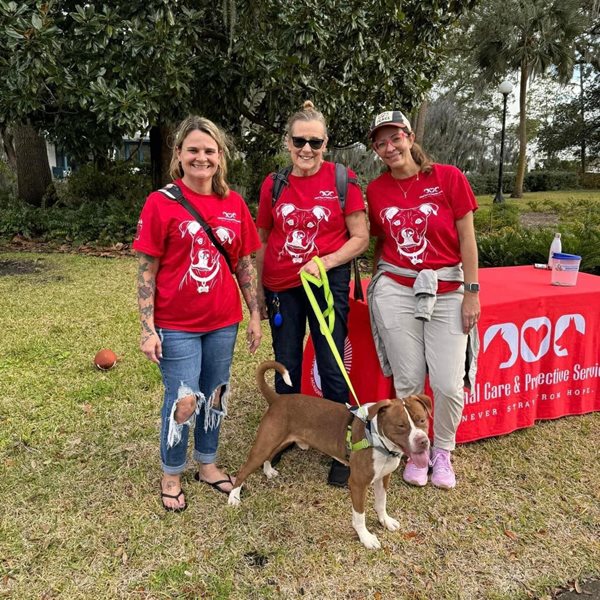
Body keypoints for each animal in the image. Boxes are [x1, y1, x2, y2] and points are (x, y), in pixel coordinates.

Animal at [226, 360, 432, 548]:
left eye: (422, 420)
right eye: (401, 426)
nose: (423, 441)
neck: (380, 442)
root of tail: (277, 399)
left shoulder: (383, 477)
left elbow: (381, 503)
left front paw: (385, 521)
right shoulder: (358, 483)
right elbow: (360, 515)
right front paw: (365, 537)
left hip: (279, 440)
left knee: (270, 455)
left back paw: (268, 470)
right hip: (264, 444)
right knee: (243, 470)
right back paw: (234, 498)